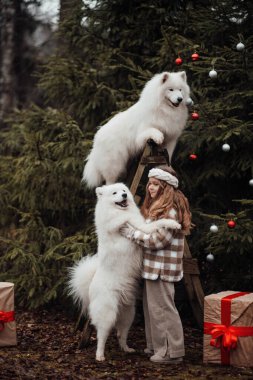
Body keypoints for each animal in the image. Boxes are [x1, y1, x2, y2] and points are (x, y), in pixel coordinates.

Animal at [68, 183, 181, 360]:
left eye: (124, 191)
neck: (117, 212)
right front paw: (173, 223)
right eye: (115, 193)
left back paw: (127, 349)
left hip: (129, 313)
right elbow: (158, 222)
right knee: (102, 335)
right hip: (108, 314)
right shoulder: (141, 226)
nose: (124, 196)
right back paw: (100, 355)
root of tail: (90, 286)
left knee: (121, 334)